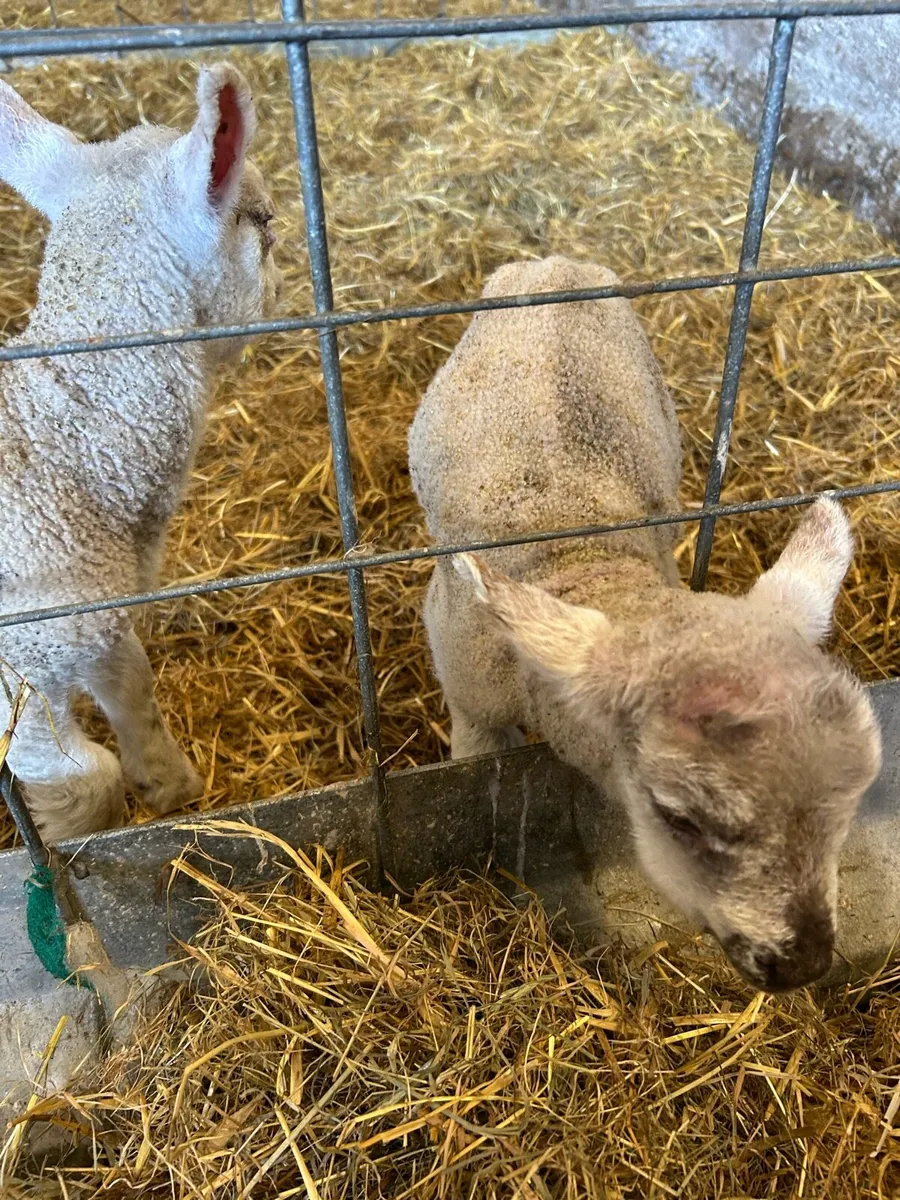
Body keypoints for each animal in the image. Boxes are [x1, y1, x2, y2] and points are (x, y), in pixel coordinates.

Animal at [0, 63, 282, 843]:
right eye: (262, 222)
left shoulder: (95, 611)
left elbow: (133, 685)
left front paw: (172, 786)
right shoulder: (21, 662)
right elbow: (79, 776)